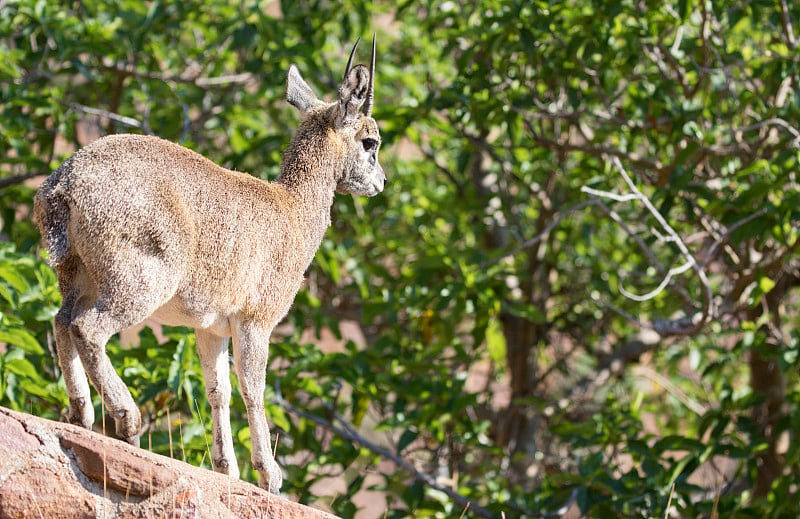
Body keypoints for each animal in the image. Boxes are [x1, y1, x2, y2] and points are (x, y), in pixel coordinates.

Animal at [36, 38, 386, 494]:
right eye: (370, 141)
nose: (381, 182)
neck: (291, 212)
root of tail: (64, 184)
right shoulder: (256, 320)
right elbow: (253, 389)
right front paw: (270, 476)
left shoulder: (209, 327)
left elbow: (218, 389)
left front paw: (227, 469)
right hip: (136, 283)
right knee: (86, 327)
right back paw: (128, 420)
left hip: (77, 275)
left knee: (61, 321)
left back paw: (81, 416)